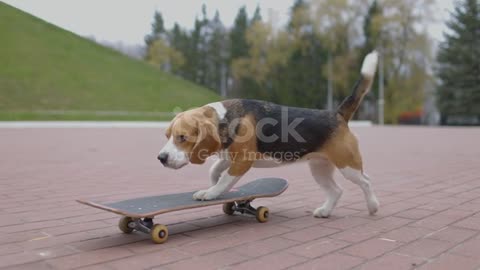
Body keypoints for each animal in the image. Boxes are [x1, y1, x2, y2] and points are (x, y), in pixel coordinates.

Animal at [159, 51, 380, 218]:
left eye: (182, 137)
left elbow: (224, 180)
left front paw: (211, 193)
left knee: (367, 181)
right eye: (167, 135)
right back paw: (325, 211)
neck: (226, 116)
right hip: (319, 168)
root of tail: (337, 114)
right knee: (337, 190)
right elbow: (214, 171)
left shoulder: (242, 161)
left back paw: (373, 206)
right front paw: (212, 184)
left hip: (347, 165)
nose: (161, 158)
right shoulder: (229, 156)